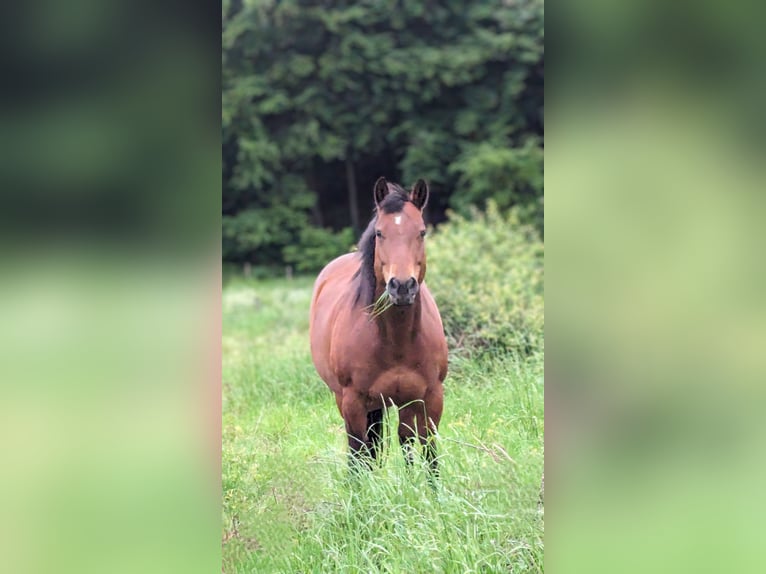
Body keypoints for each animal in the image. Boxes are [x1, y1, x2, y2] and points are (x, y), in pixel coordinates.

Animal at [309, 177, 448, 474]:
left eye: (421, 232)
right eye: (380, 233)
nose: (402, 286)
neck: (396, 340)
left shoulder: (429, 397)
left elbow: (425, 448)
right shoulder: (353, 401)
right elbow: (358, 452)